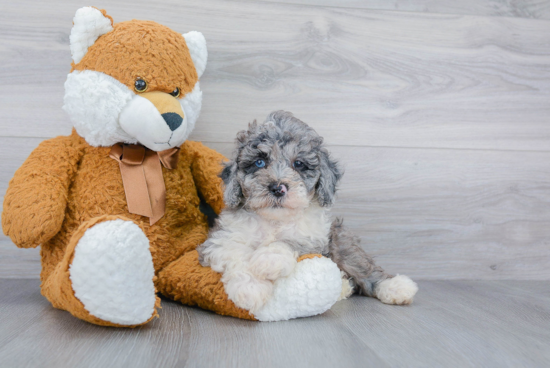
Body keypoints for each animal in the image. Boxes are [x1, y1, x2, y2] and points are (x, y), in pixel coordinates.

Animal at [201, 110, 420, 312]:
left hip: (341, 240)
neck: (275, 220)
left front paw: (270, 258)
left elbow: (289, 241)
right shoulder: (219, 240)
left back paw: (396, 286)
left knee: (363, 267)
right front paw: (251, 289)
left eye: (298, 164)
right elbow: (235, 253)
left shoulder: (315, 238)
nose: (277, 188)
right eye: (259, 162)